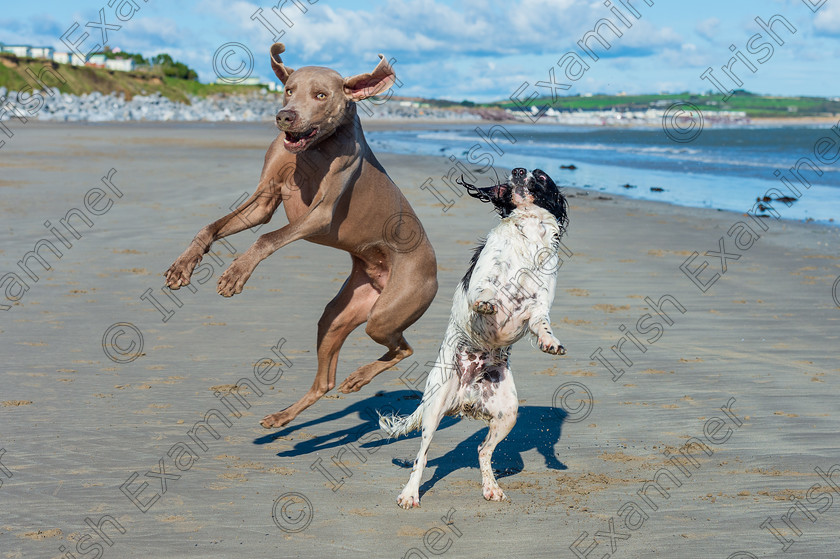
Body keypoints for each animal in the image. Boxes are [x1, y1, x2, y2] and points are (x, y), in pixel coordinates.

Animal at [165, 44, 440, 428]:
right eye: (288, 90)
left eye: (321, 95)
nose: (285, 116)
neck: (313, 150)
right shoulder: (263, 201)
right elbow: (211, 227)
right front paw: (183, 265)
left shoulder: (320, 215)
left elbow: (267, 238)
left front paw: (237, 272)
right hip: (340, 314)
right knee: (325, 381)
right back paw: (284, 416)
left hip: (386, 314)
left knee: (404, 347)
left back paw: (359, 377)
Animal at [380, 166, 572, 508]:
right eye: (516, 175)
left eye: (540, 175)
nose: (519, 170)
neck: (527, 235)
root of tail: (466, 398)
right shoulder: (485, 279)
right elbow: (485, 291)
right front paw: (486, 303)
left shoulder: (539, 306)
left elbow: (543, 324)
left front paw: (551, 343)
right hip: (435, 408)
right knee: (421, 457)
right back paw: (409, 494)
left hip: (508, 413)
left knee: (483, 450)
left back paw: (491, 488)